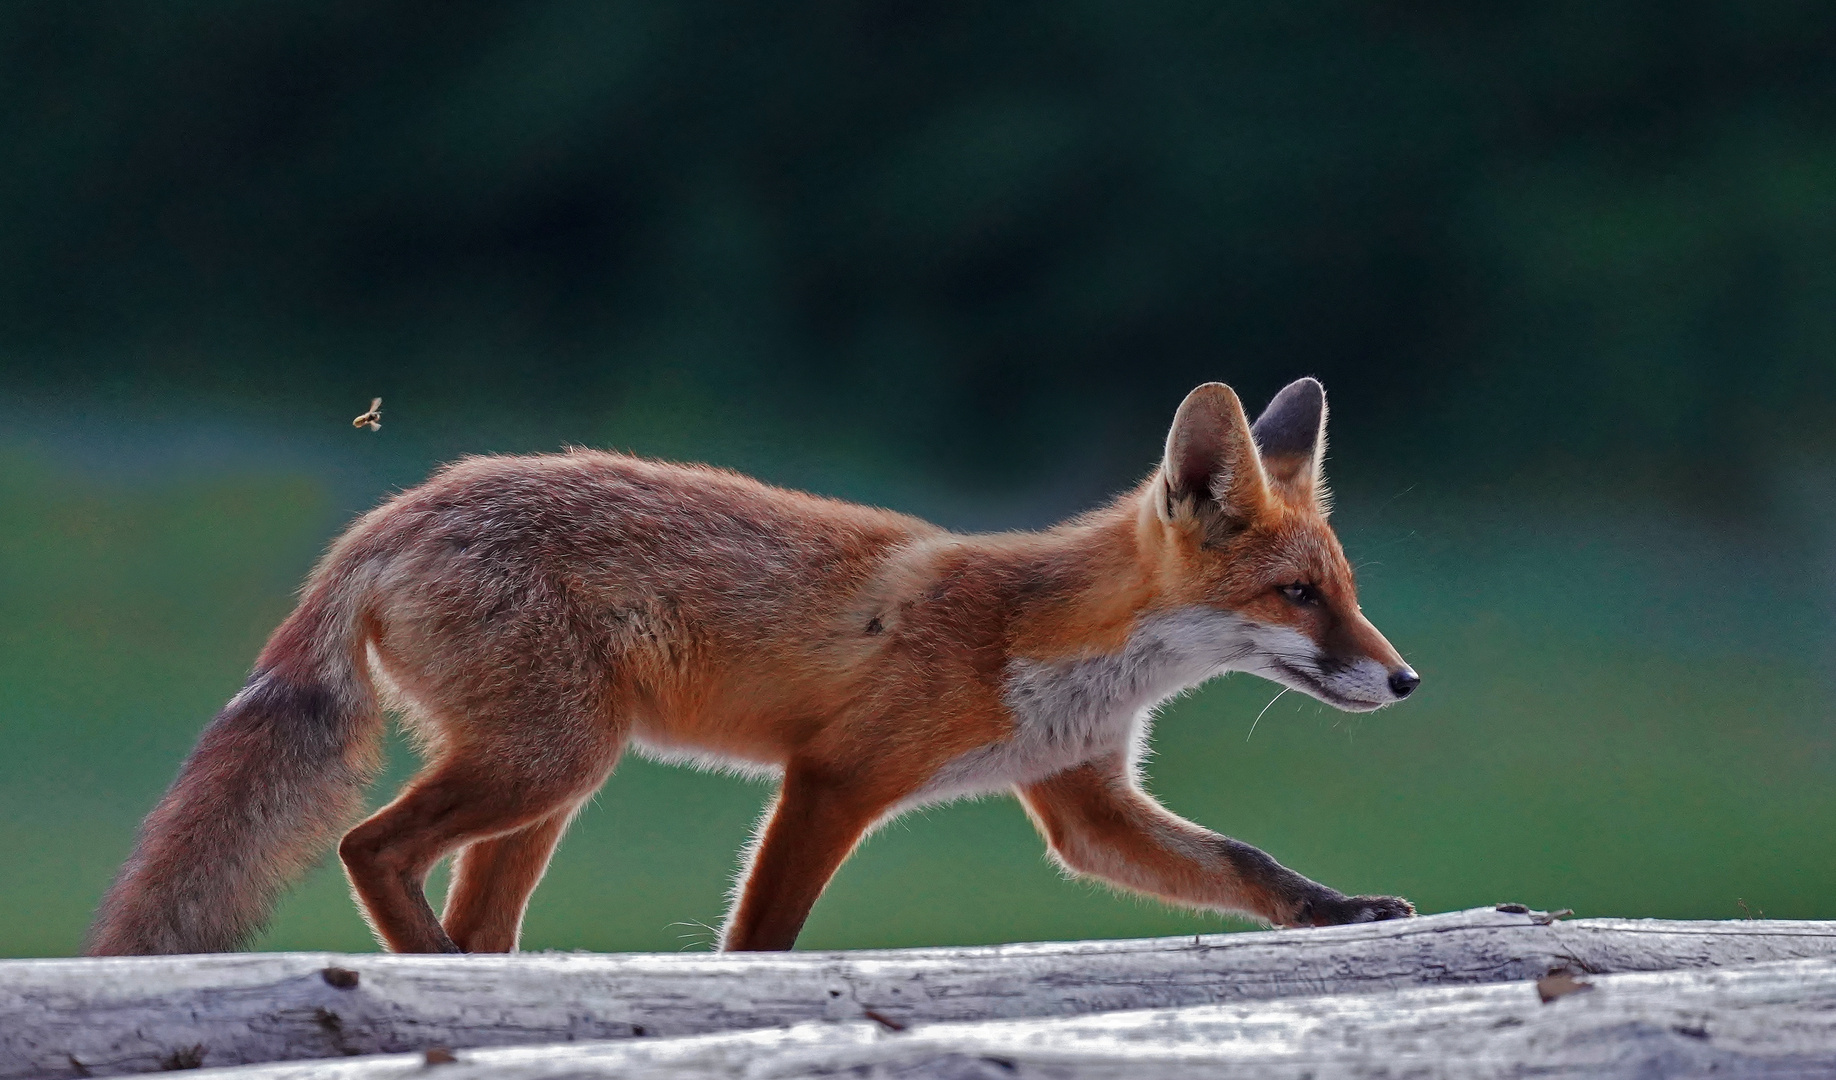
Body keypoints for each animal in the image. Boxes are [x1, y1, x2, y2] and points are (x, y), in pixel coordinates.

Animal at [86, 380, 1417, 955]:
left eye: (1344, 591)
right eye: (1298, 597)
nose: (1406, 684)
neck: (1049, 643)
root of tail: (393, 514)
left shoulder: (1081, 800)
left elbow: (1246, 863)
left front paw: (1342, 910)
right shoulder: (834, 779)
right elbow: (763, 939)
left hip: (546, 788)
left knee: (467, 909)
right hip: (552, 760)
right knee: (370, 847)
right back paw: (430, 971)